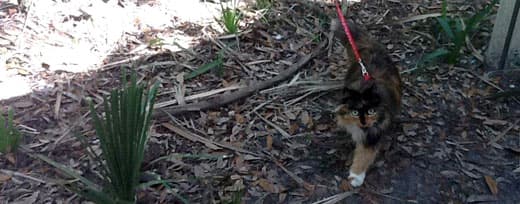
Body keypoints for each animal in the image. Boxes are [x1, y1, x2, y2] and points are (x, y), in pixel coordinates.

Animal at [332, 19, 404, 188]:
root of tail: (371, 45)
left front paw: (355, 178)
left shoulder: (374, 133)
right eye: (355, 112)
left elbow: (364, 156)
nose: (364, 123)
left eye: (371, 111)